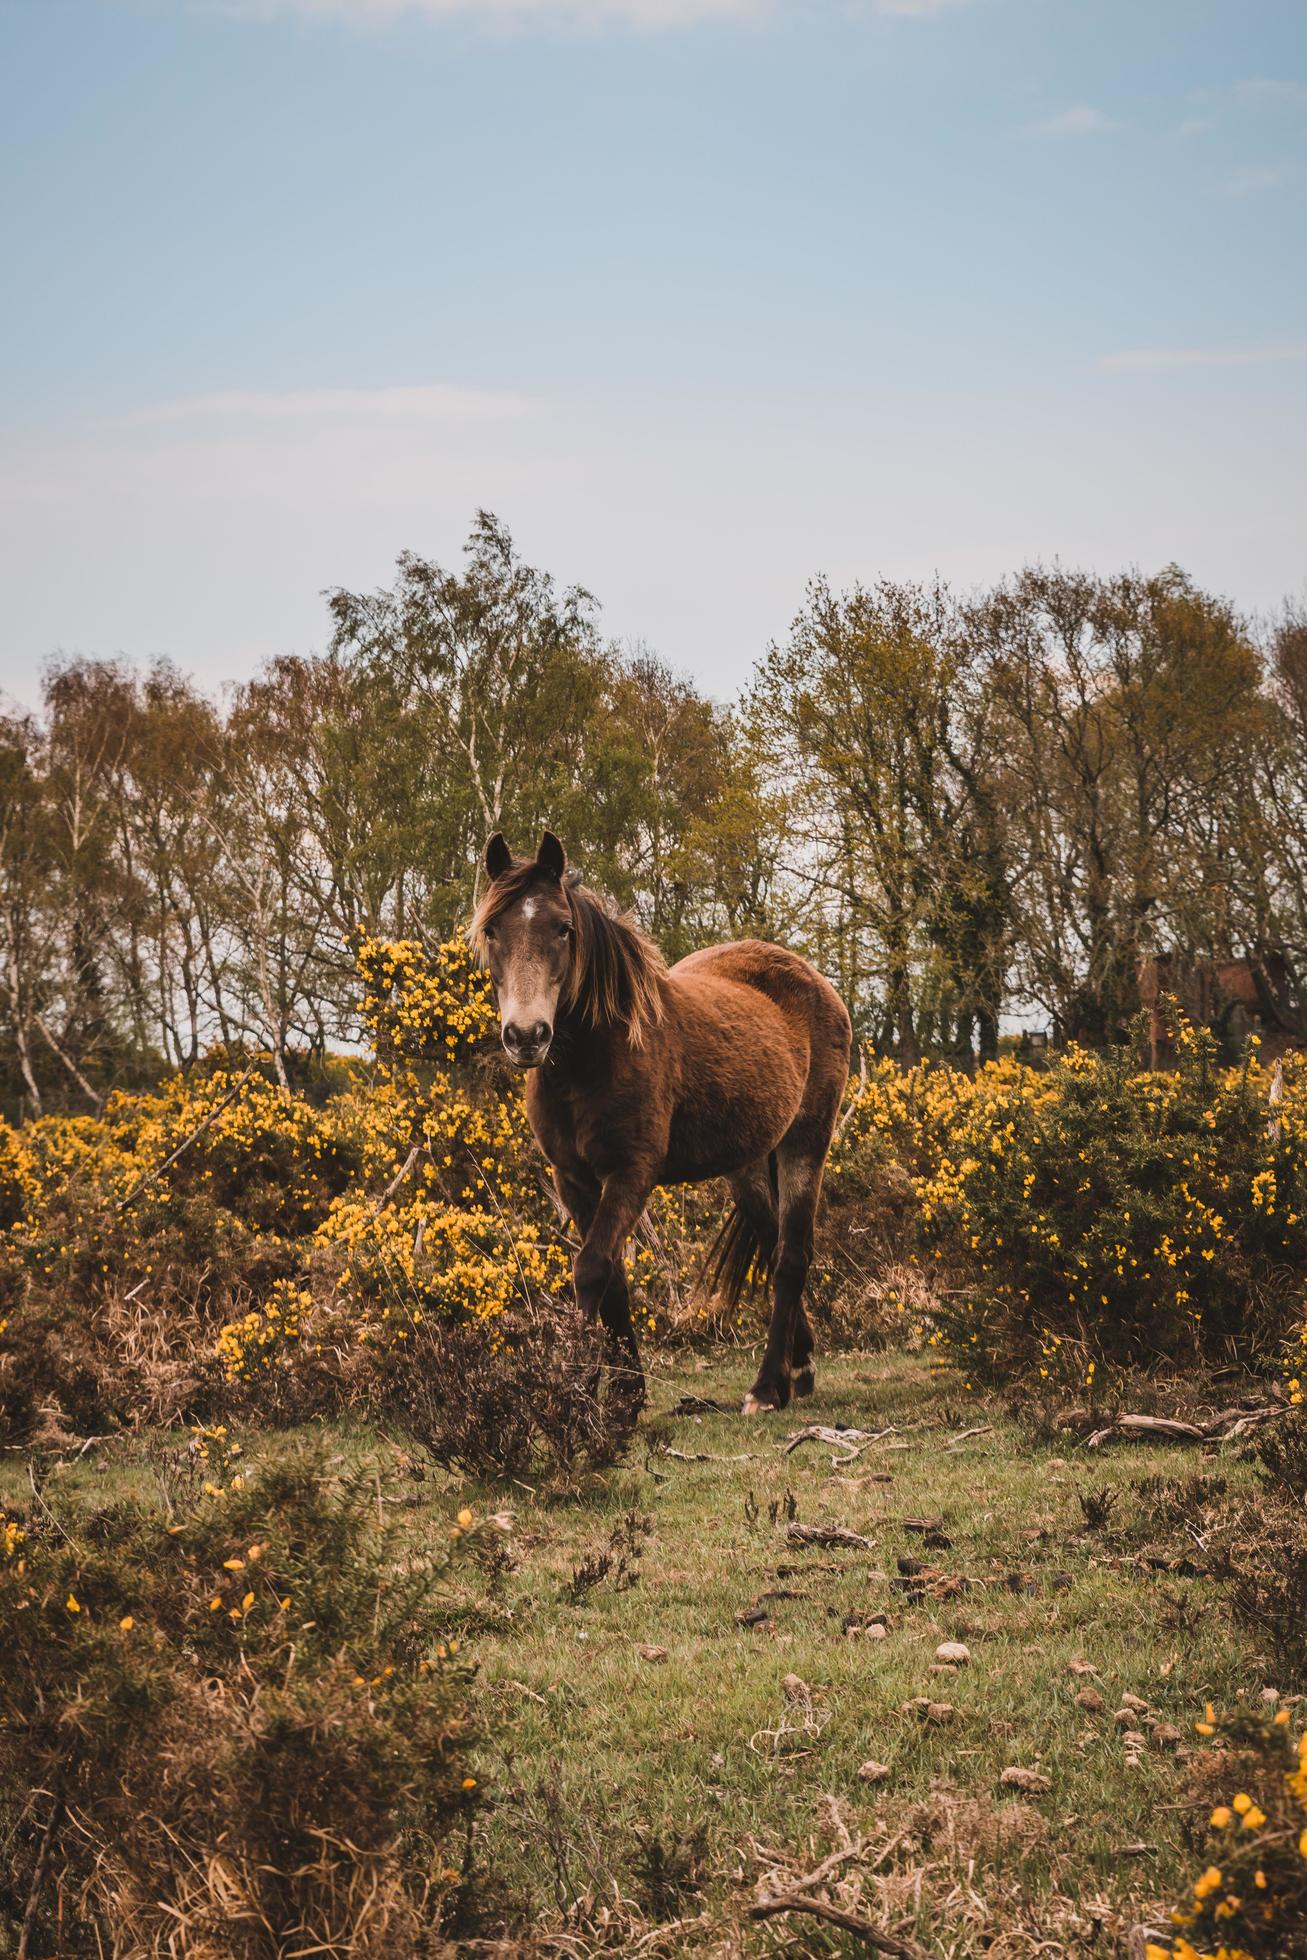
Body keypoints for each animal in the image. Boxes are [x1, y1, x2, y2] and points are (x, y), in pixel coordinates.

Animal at [476, 827, 854, 1411]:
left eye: (562, 928)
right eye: (493, 929)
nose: (525, 1036)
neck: (595, 1058)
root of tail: (812, 979)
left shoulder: (631, 1173)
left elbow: (592, 1269)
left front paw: (580, 1391)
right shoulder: (574, 1179)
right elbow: (613, 1278)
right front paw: (625, 1389)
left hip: (804, 1144)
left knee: (792, 1256)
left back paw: (767, 1386)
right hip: (747, 1167)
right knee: (772, 1245)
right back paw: (801, 1365)